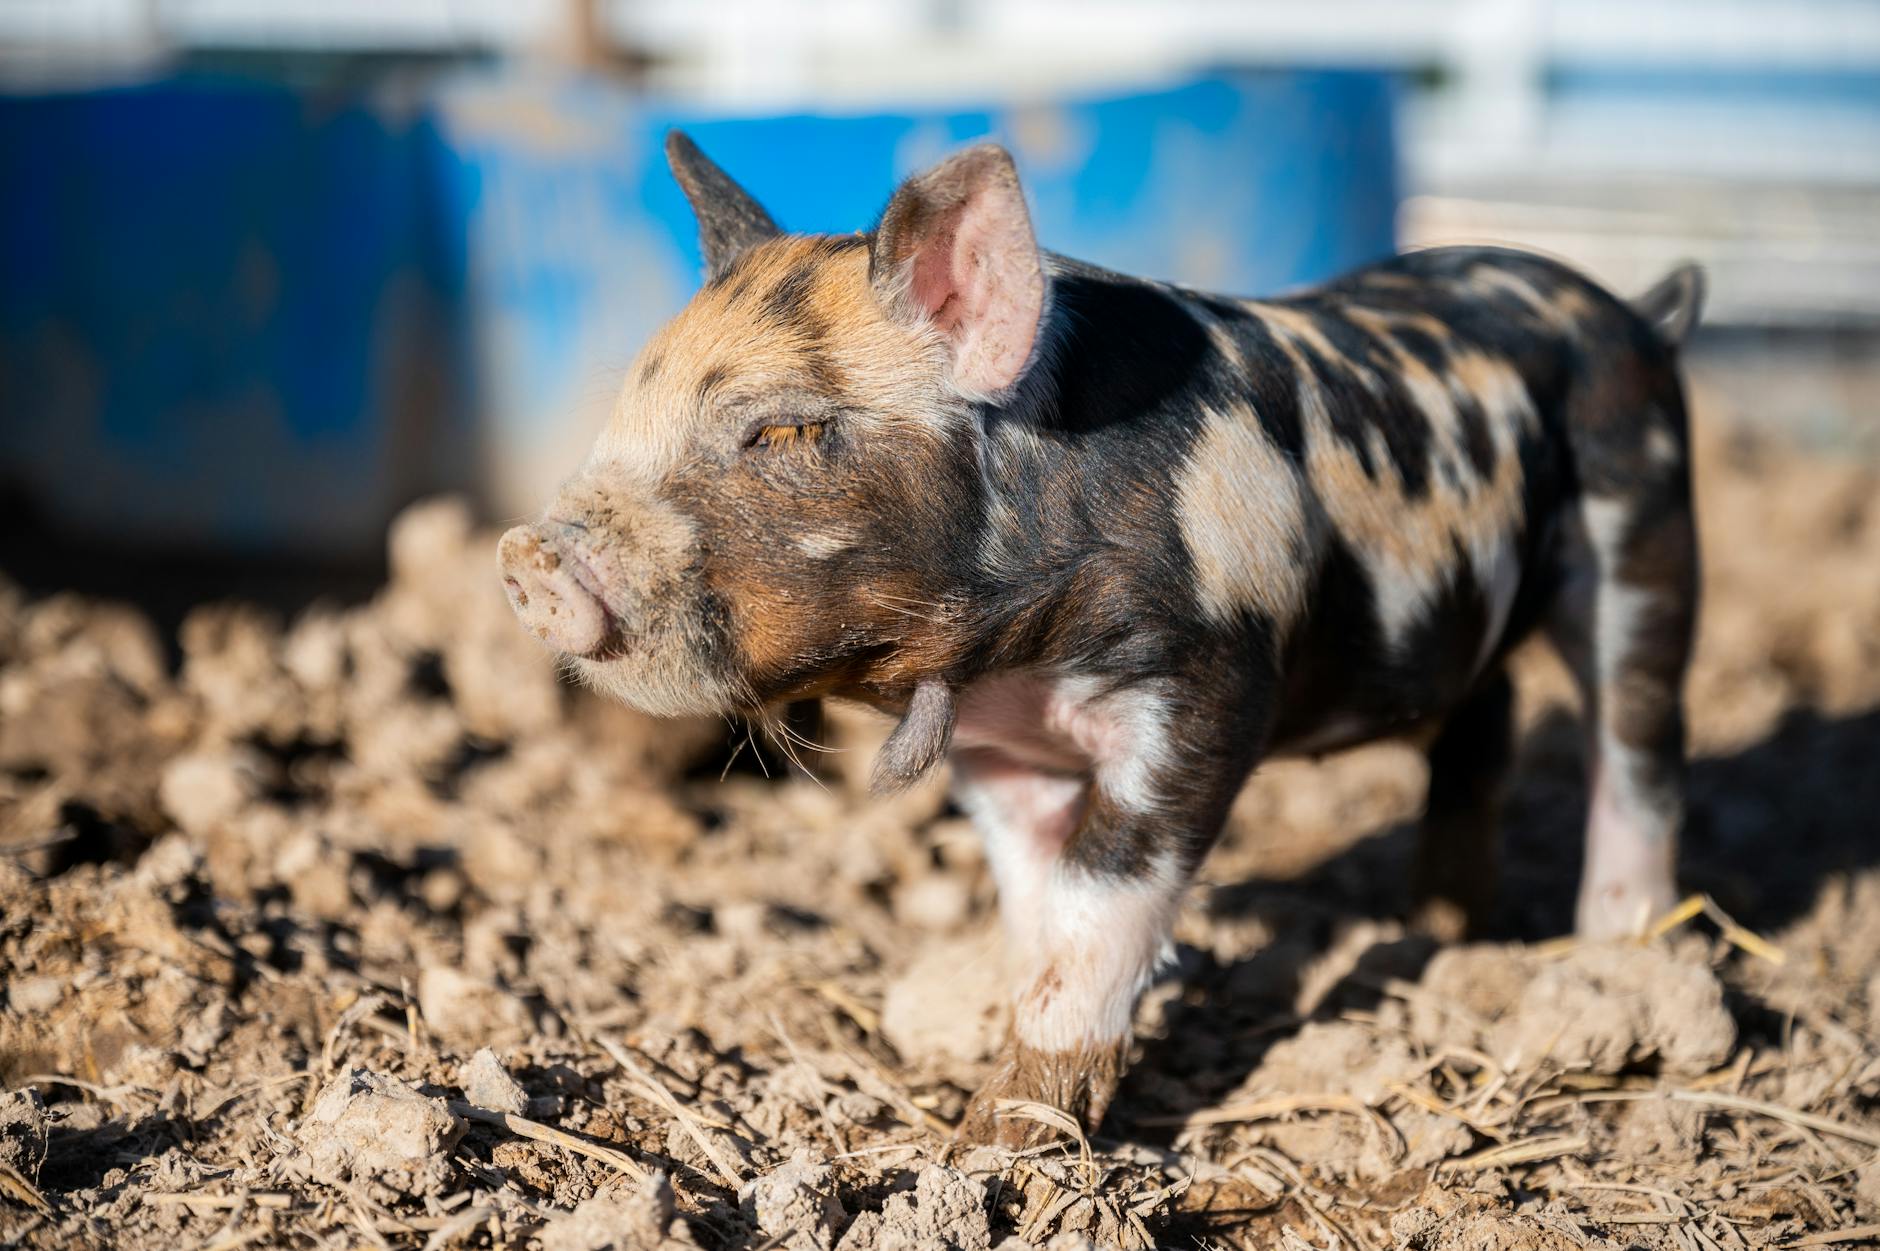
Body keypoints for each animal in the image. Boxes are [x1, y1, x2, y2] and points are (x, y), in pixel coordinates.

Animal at [499, 132, 1705, 1146]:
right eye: (626, 409)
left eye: (785, 429)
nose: (528, 557)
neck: (1015, 659)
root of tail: (1637, 314)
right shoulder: (999, 753)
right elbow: (1039, 909)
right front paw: (1009, 1115)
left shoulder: (1205, 691)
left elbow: (1101, 900)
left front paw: (996, 1144)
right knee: (1486, 716)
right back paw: (1442, 926)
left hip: (1641, 540)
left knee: (1639, 751)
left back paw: (1620, 958)